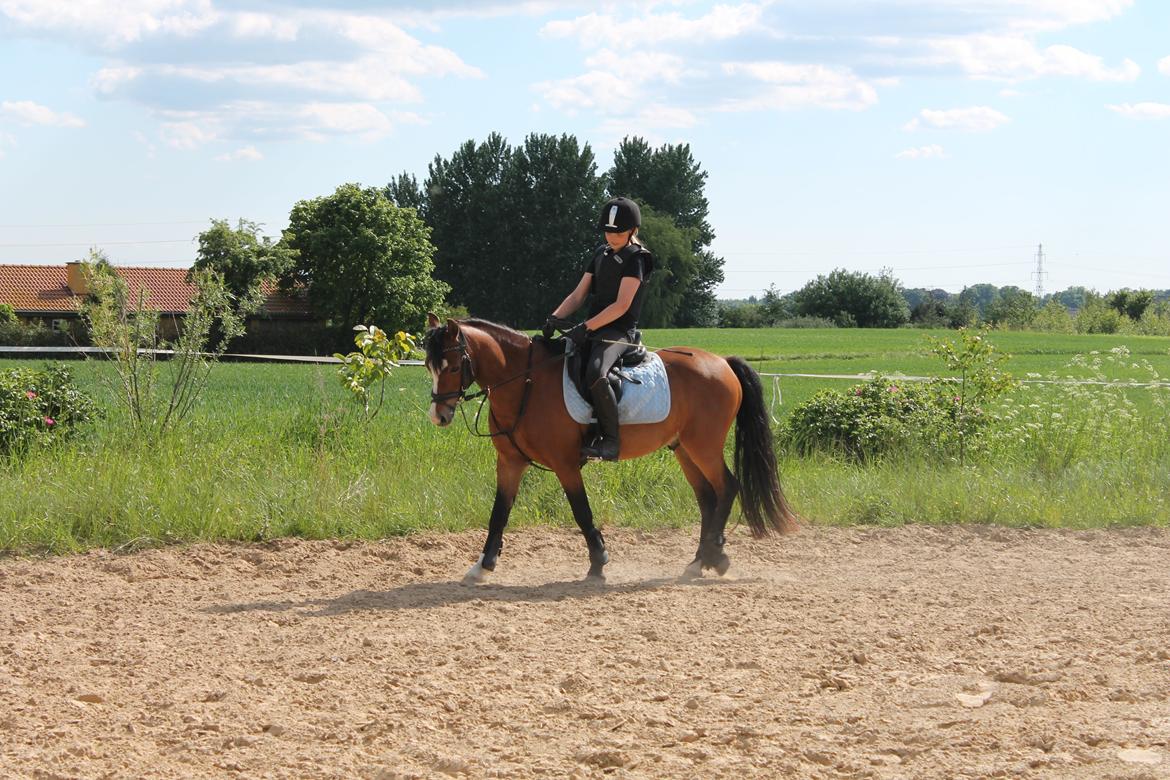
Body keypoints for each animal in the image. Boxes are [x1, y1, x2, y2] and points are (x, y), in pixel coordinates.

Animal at [425, 313, 800, 582]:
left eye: (454, 366)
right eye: (430, 366)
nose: (439, 416)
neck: (525, 382)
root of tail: (722, 362)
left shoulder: (565, 463)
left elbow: (581, 511)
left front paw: (598, 563)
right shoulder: (509, 462)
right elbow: (499, 513)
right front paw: (482, 566)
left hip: (703, 445)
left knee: (727, 488)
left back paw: (713, 557)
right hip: (683, 448)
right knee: (708, 498)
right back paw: (701, 561)